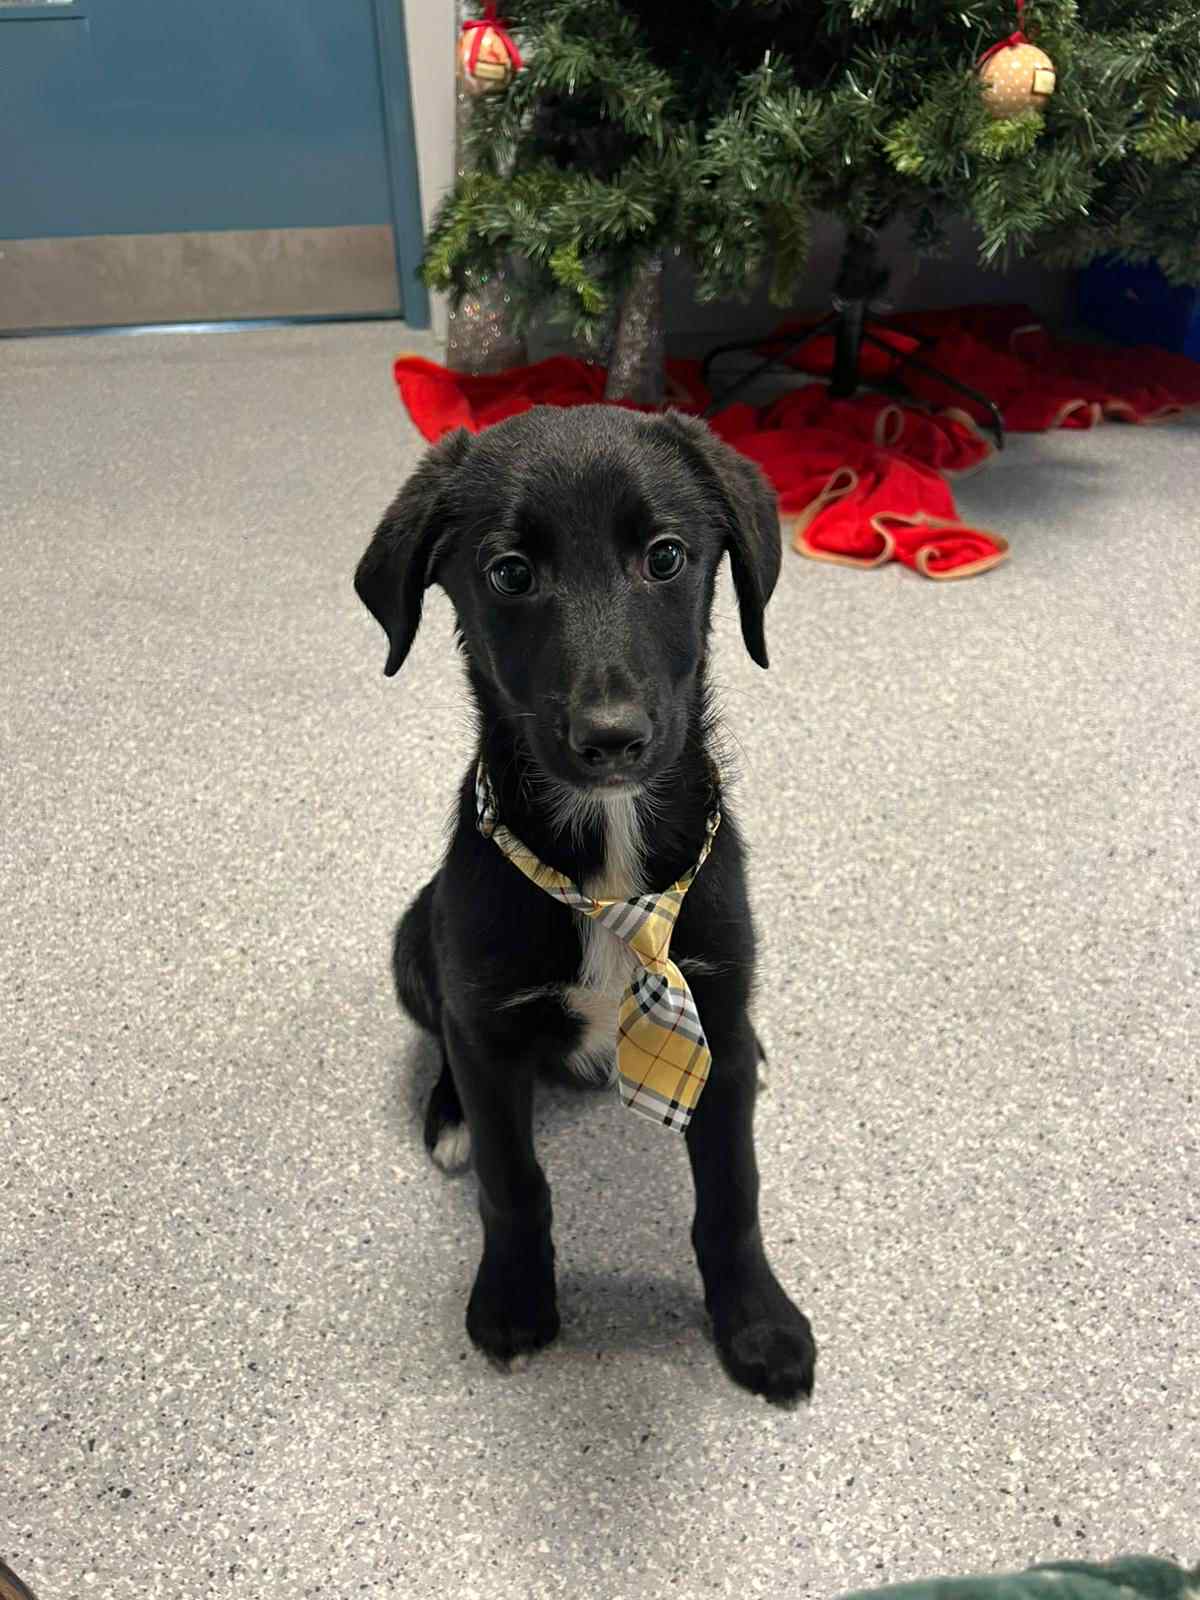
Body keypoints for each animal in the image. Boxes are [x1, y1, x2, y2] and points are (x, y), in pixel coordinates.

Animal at [355, 404, 816, 1403]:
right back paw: (447, 1115)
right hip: (416, 943)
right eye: (509, 573)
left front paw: (758, 1323)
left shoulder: (718, 997)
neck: (609, 863)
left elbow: (733, 1194)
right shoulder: (486, 1016)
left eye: (666, 557)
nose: (612, 739)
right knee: (444, 1038)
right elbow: (512, 1183)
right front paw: (513, 1300)